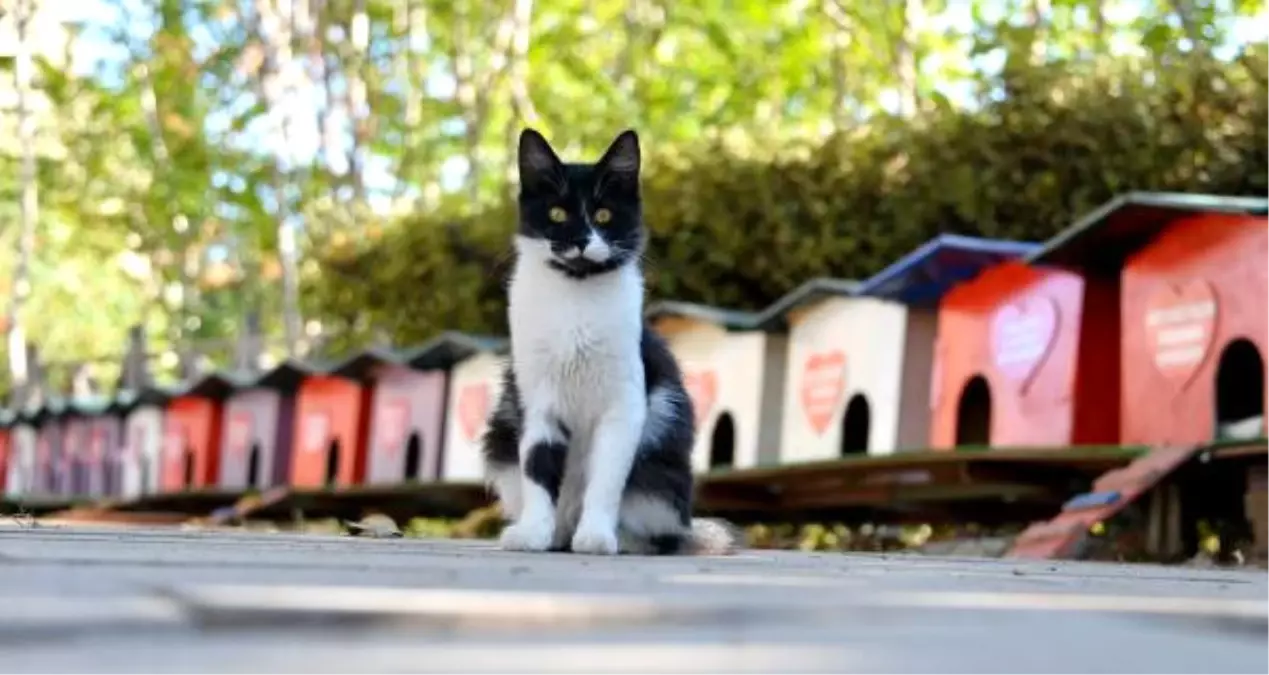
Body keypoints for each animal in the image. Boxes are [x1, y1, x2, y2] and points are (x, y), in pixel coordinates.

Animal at [479, 129, 741, 555]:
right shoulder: (534, 401)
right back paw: (555, 534)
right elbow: (536, 469)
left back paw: (621, 539)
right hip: (501, 437)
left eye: (603, 215)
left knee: (660, 532)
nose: (581, 241)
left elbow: (605, 479)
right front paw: (534, 532)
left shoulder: (625, 403)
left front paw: (597, 536)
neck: (576, 293)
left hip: (662, 470)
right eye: (557, 214)